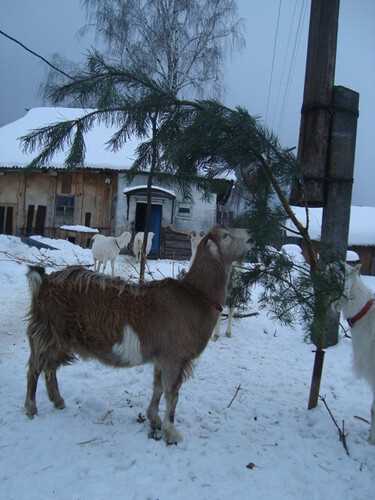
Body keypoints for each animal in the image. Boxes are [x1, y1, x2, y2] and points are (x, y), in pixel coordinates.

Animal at [25, 228, 254, 446]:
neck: (196, 296)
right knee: (35, 368)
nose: (251, 237)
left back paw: (58, 401)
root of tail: (43, 283)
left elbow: (158, 387)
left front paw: (154, 419)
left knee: (50, 367)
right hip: (46, 332)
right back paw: (31, 409)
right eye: (226, 235)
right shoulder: (174, 358)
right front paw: (171, 432)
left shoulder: (162, 358)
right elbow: (172, 394)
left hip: (60, 338)